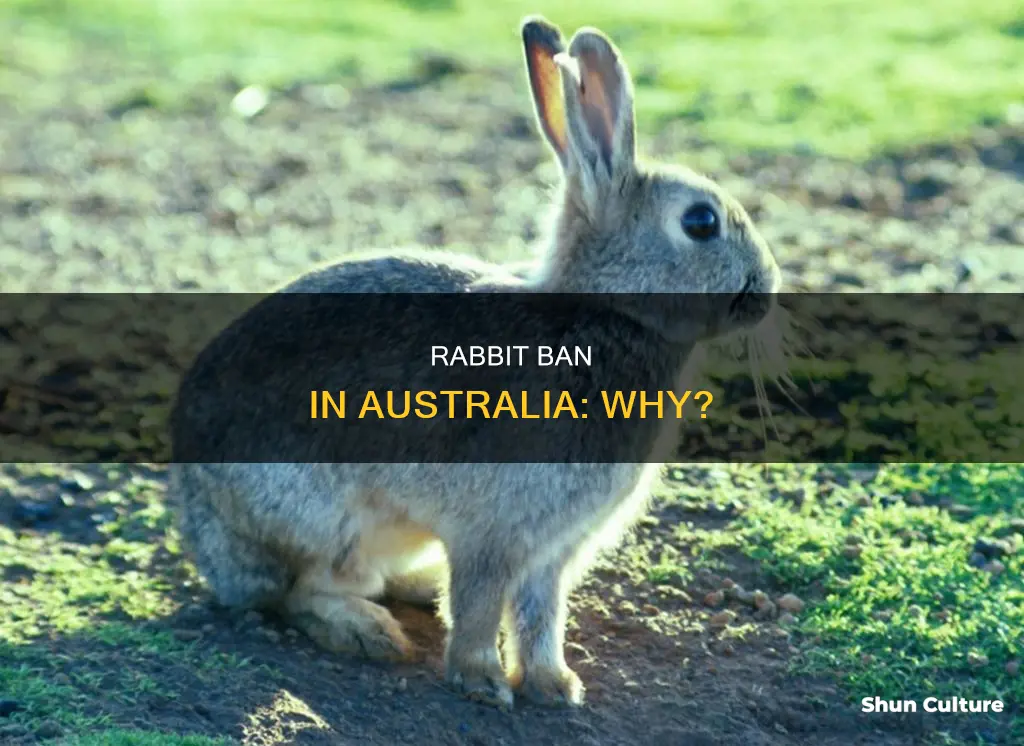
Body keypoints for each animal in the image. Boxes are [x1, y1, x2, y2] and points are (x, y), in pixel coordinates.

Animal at [167, 15, 782, 712]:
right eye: (700, 222)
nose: (767, 291)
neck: (608, 314)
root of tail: (202, 528)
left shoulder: (552, 550)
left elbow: (543, 614)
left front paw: (554, 686)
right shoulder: (492, 531)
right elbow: (483, 604)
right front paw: (482, 681)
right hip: (316, 517)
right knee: (298, 590)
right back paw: (367, 630)